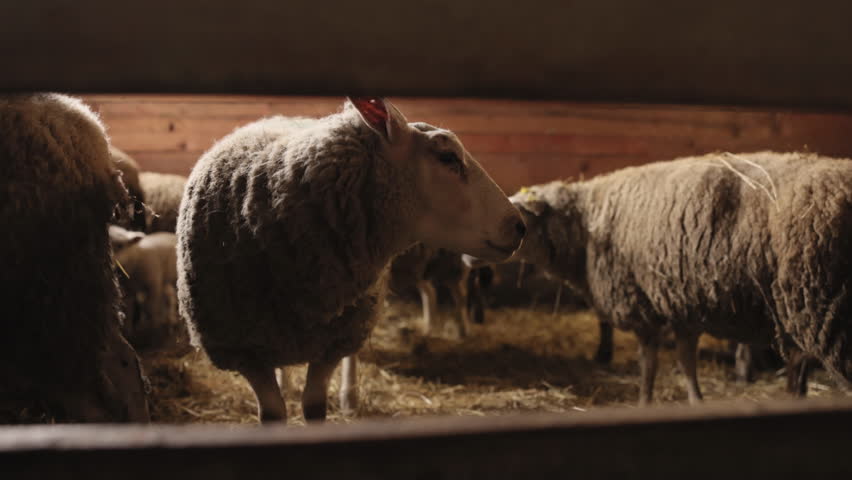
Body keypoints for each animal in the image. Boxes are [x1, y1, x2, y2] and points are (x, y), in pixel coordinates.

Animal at [109, 225, 190, 356]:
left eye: (120, 246)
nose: (112, 263)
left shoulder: (154, 285)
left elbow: (152, 308)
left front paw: (154, 332)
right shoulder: (129, 291)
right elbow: (129, 311)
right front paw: (129, 335)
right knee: (170, 296)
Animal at [177, 97, 525, 423]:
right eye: (448, 157)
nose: (520, 227)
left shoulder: (334, 341)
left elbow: (315, 406)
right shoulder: (243, 349)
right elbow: (273, 413)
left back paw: (350, 395)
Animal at [472, 151, 852, 405]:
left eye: (522, 216)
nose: (468, 258)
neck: (585, 226)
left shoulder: (643, 305)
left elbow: (649, 364)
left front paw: (644, 401)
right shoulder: (682, 303)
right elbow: (685, 361)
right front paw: (696, 400)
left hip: (828, 313)